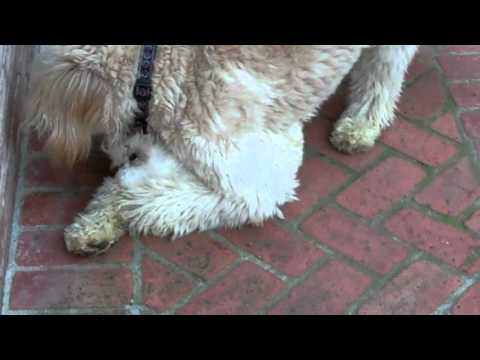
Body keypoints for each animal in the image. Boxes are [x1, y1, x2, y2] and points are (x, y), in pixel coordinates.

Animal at [26, 45, 416, 256]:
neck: (159, 71)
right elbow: (135, 183)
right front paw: (94, 226)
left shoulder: (258, 177)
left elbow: (149, 196)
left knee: (384, 71)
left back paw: (361, 123)